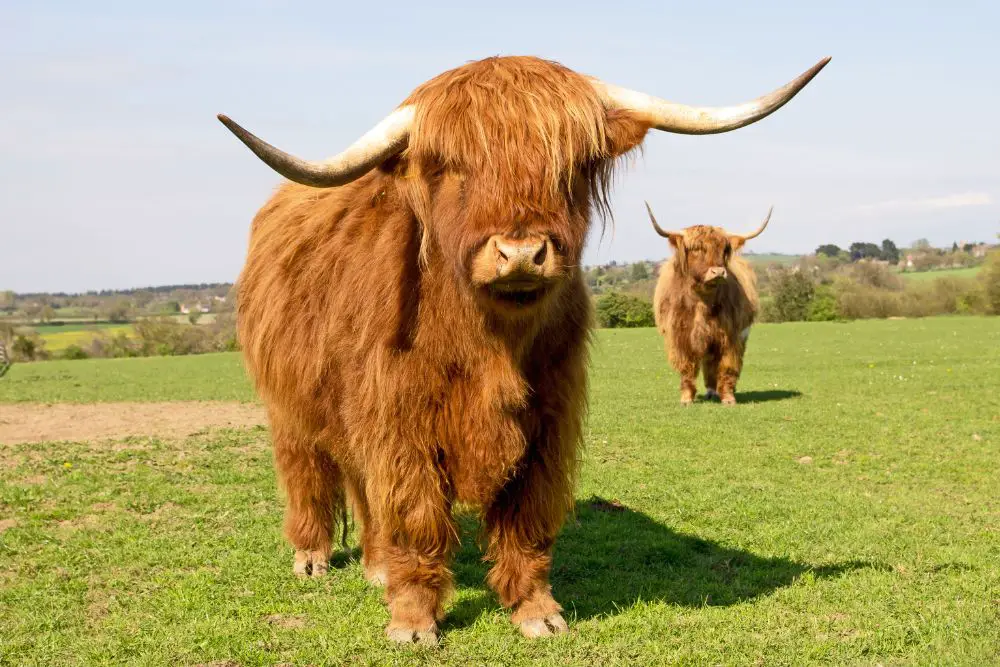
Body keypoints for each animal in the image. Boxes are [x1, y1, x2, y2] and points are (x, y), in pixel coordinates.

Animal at [648, 201, 772, 404]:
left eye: (724, 249)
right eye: (696, 248)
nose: (718, 272)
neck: (701, 300)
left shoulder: (730, 337)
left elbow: (728, 367)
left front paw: (728, 398)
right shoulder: (680, 336)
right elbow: (687, 368)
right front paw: (686, 398)